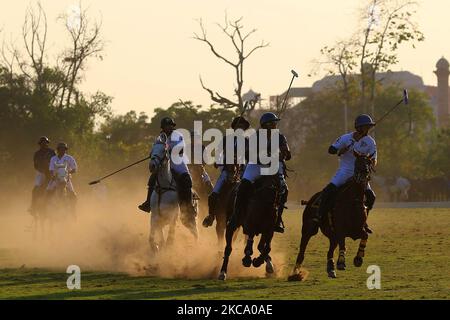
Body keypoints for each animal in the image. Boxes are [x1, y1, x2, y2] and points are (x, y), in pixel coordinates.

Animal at [290, 152, 374, 280]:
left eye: (369, 162)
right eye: (357, 162)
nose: (363, 175)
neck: (353, 201)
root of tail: (310, 200)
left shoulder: (357, 229)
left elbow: (365, 235)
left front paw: (358, 258)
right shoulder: (340, 230)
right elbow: (343, 244)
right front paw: (341, 262)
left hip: (332, 237)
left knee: (329, 252)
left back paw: (330, 270)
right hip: (308, 229)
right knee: (302, 251)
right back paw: (296, 273)